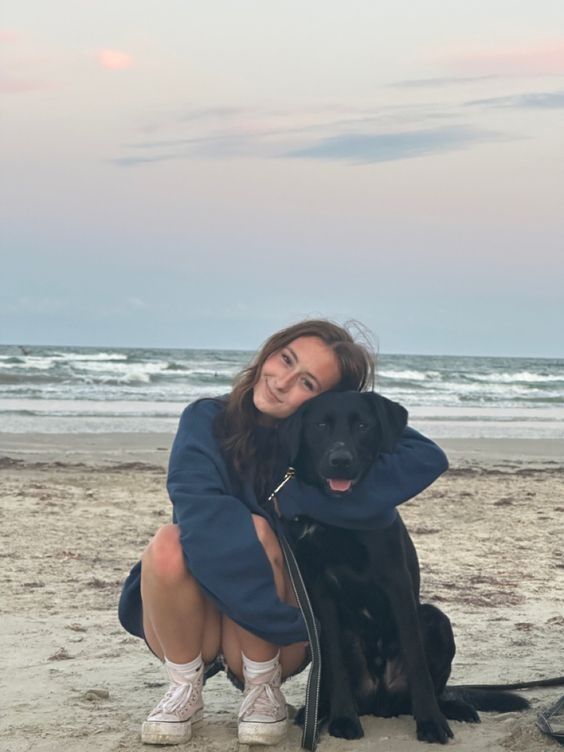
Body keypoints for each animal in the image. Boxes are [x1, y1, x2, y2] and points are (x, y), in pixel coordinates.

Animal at [278, 390, 528, 744]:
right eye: (321, 426)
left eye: (363, 426)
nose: (340, 460)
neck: (339, 515)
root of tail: (381, 702)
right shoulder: (320, 593)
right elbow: (337, 665)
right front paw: (343, 719)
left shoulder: (396, 584)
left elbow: (416, 659)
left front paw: (431, 723)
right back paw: (317, 712)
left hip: (435, 619)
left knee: (434, 688)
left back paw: (452, 707)